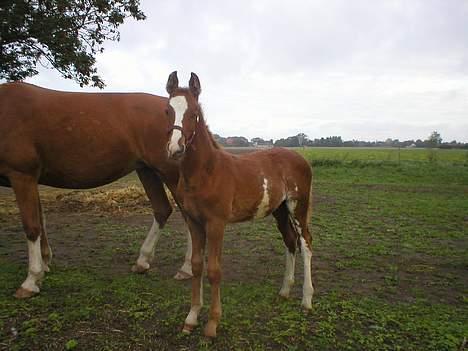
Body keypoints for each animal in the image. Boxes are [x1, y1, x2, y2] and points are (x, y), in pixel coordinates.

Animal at [0, 82, 194, 300]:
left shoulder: (22, 175)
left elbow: (32, 226)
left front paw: (31, 280)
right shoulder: (33, 180)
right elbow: (41, 221)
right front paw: (45, 263)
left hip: (169, 173)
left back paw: (187, 268)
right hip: (147, 170)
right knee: (162, 209)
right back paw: (143, 261)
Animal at [165, 73, 314, 340]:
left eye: (194, 112)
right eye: (167, 111)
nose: (175, 149)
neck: (207, 172)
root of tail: (300, 158)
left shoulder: (216, 224)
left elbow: (214, 270)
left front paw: (212, 324)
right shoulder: (194, 222)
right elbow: (196, 266)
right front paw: (191, 319)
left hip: (298, 206)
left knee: (305, 243)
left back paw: (306, 301)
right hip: (280, 210)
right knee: (290, 241)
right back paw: (284, 291)